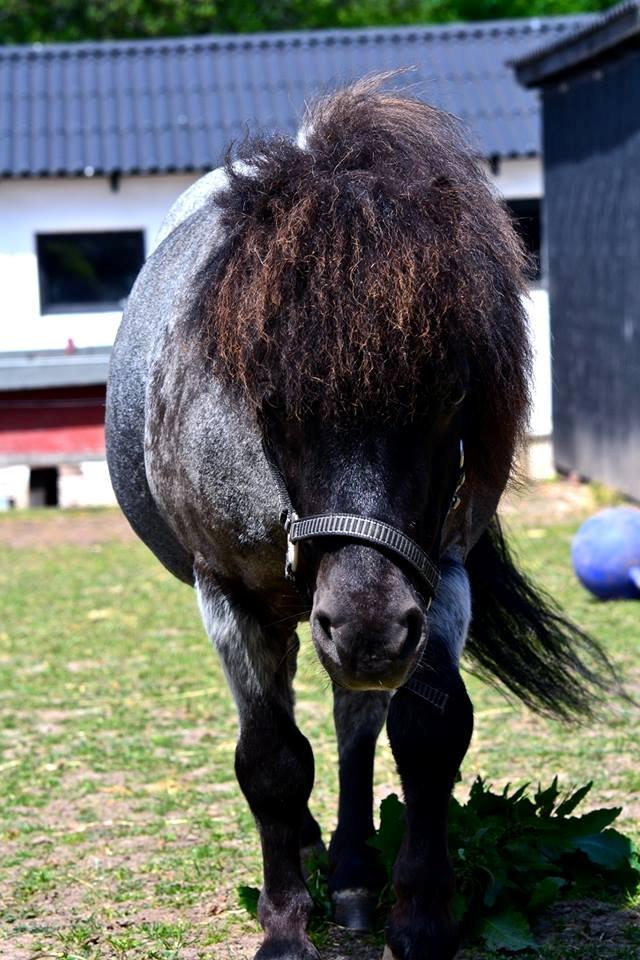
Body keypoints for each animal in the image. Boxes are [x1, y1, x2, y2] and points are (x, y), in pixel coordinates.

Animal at [109, 80, 608, 960]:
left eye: (451, 395)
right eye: (270, 402)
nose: (370, 629)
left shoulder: (439, 575)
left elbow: (426, 732)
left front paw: (420, 915)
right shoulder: (227, 594)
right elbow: (272, 761)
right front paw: (283, 929)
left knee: (353, 725)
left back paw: (348, 874)